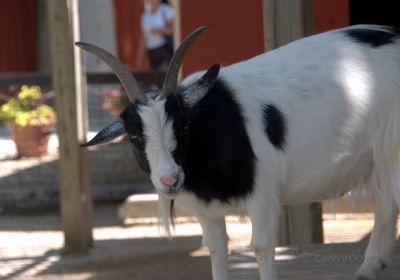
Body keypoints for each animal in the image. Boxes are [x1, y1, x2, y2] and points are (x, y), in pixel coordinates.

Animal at [77, 24, 400, 280]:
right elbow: (217, 250)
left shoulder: (264, 197)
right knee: (386, 207)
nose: (170, 180)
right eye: (133, 136)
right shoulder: (207, 213)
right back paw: (368, 270)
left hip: (391, 149)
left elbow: (261, 248)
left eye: (183, 126)